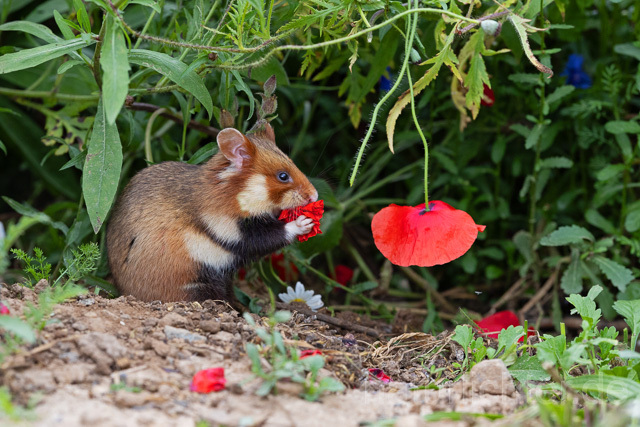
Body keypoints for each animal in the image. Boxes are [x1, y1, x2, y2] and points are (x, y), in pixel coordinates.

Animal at [106, 122, 318, 302]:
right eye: (283, 176)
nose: (314, 196)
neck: (234, 194)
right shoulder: (231, 229)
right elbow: (273, 235)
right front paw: (304, 222)